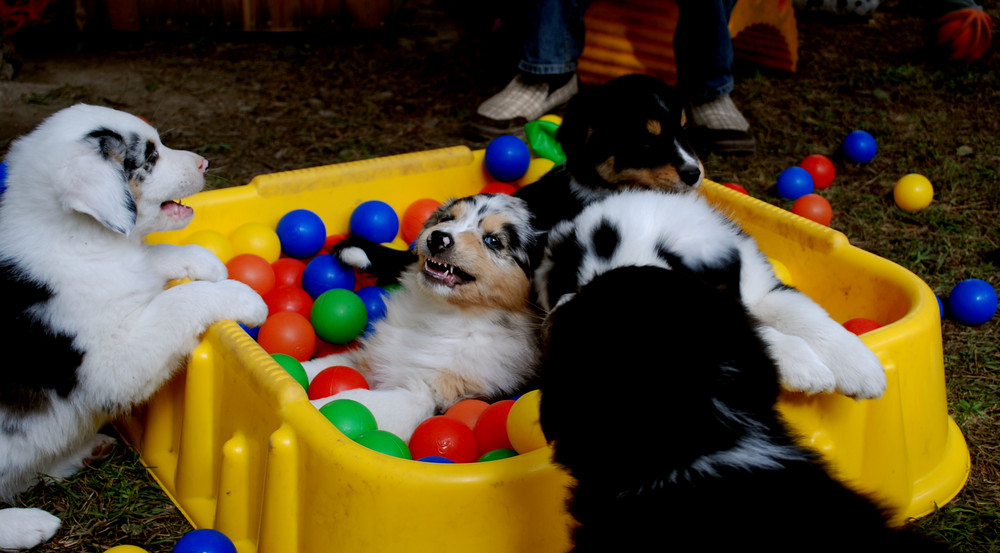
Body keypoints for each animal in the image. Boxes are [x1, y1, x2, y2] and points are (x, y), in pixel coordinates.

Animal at [0, 102, 270, 548]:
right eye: (150, 157)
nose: (204, 163)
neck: (78, 237)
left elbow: (152, 257)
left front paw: (207, 262)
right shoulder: (113, 360)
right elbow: (178, 300)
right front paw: (244, 295)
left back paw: (86, 452)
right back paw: (27, 525)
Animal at [302, 193, 544, 440]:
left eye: (493, 241)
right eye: (447, 218)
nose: (438, 238)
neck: (441, 314)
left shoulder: (425, 396)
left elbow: (355, 399)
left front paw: (313, 407)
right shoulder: (372, 357)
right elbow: (318, 366)